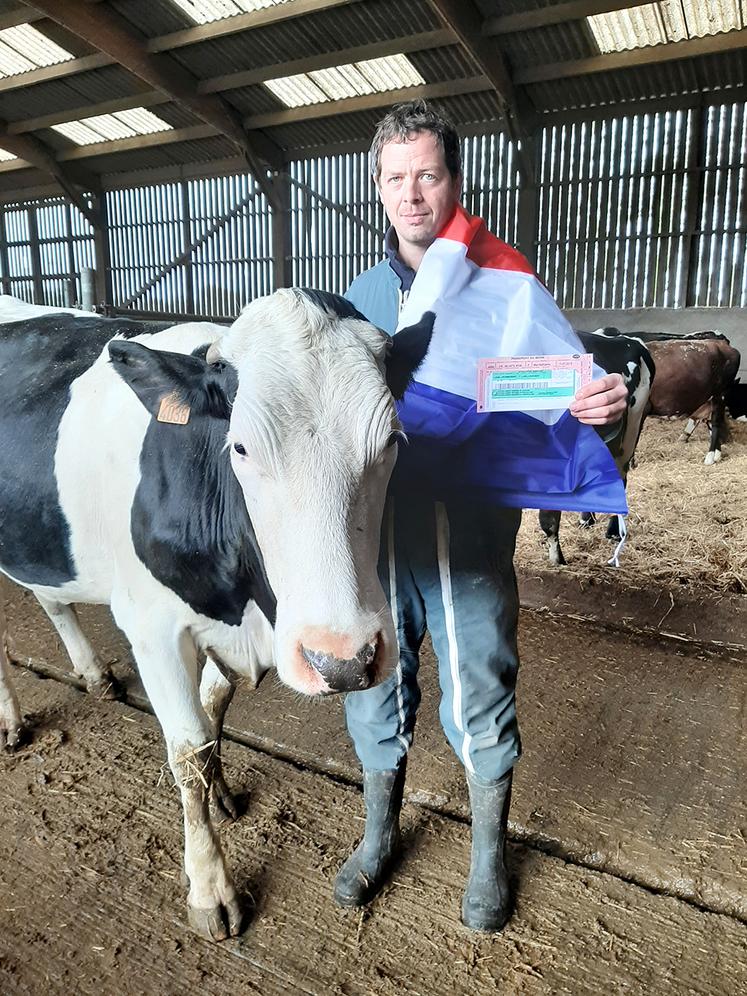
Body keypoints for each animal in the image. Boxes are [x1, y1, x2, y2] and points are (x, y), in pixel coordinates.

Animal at [0, 290, 436, 940]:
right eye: (240, 446)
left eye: (391, 442)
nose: (342, 661)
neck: (249, 605)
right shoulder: (151, 628)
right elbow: (187, 750)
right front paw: (210, 888)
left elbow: (212, 714)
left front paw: (225, 793)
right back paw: (11, 720)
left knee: (52, 595)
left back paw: (94, 675)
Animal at [536, 328, 656, 568]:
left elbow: (548, 518)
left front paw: (557, 561)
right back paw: (586, 519)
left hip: (630, 433)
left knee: (621, 478)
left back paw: (613, 531)